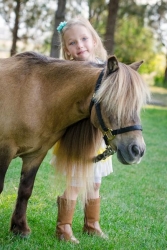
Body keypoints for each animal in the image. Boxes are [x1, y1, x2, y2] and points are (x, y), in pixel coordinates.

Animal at [0, 52, 149, 236]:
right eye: (113, 103)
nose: (137, 150)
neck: (37, 95)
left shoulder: (36, 154)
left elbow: (25, 190)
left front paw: (20, 228)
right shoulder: (5, 150)